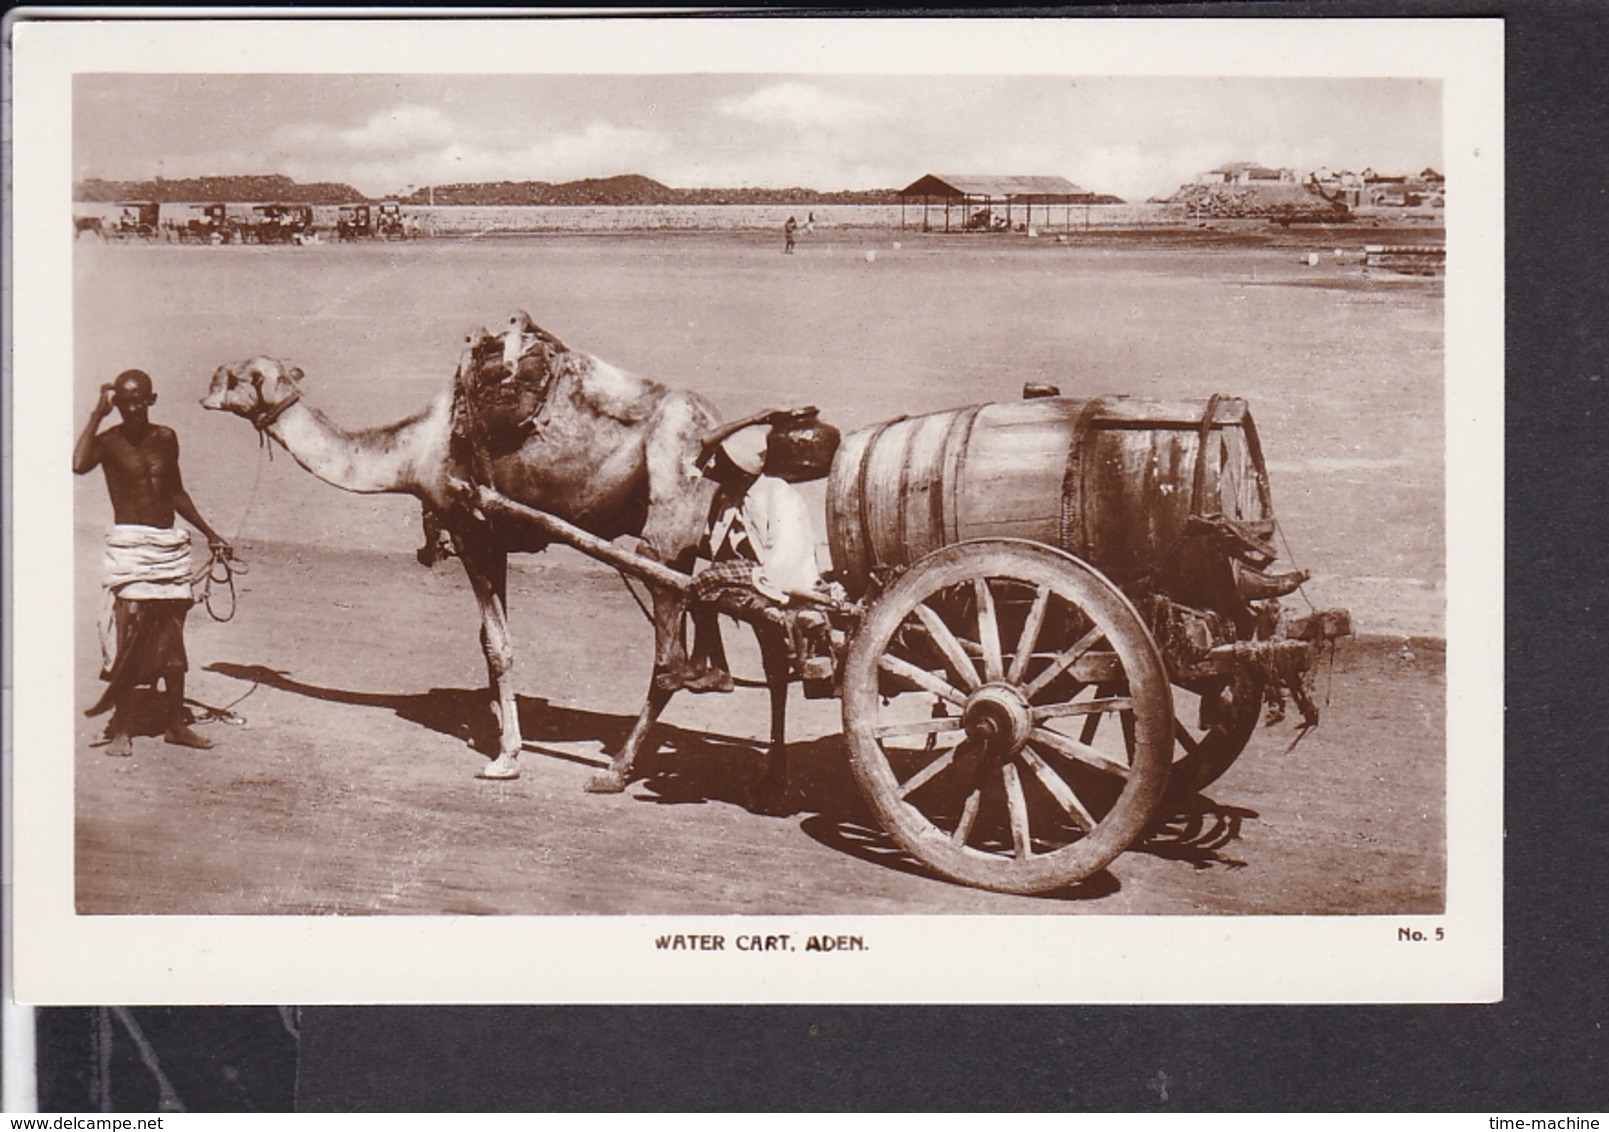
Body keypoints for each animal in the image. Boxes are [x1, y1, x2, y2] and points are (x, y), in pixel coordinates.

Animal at [202, 308, 804, 797]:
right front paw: (497, 728)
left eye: (234, 377)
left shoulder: (471, 530)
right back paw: (768, 777)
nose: (203, 392)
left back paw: (616, 772)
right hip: (728, 536)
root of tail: (717, 434)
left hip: (666, 537)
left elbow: (497, 646)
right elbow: (490, 640)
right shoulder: (499, 538)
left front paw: (505, 758)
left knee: (669, 664)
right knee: (774, 642)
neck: (414, 451)